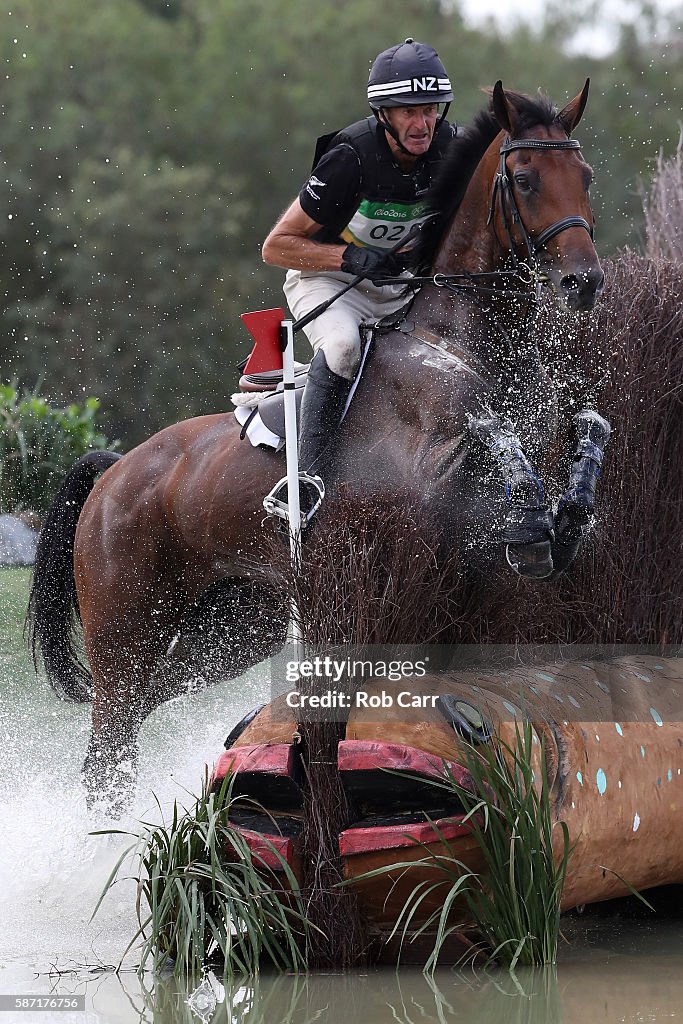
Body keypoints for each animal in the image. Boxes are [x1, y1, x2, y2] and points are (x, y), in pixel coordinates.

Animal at [26, 79, 606, 802]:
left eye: (585, 177)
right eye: (524, 179)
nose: (584, 282)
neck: (455, 335)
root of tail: (114, 472)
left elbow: (575, 444)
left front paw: (564, 519)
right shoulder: (423, 471)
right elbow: (491, 436)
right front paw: (531, 524)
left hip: (235, 628)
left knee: (144, 706)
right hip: (124, 628)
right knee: (110, 734)